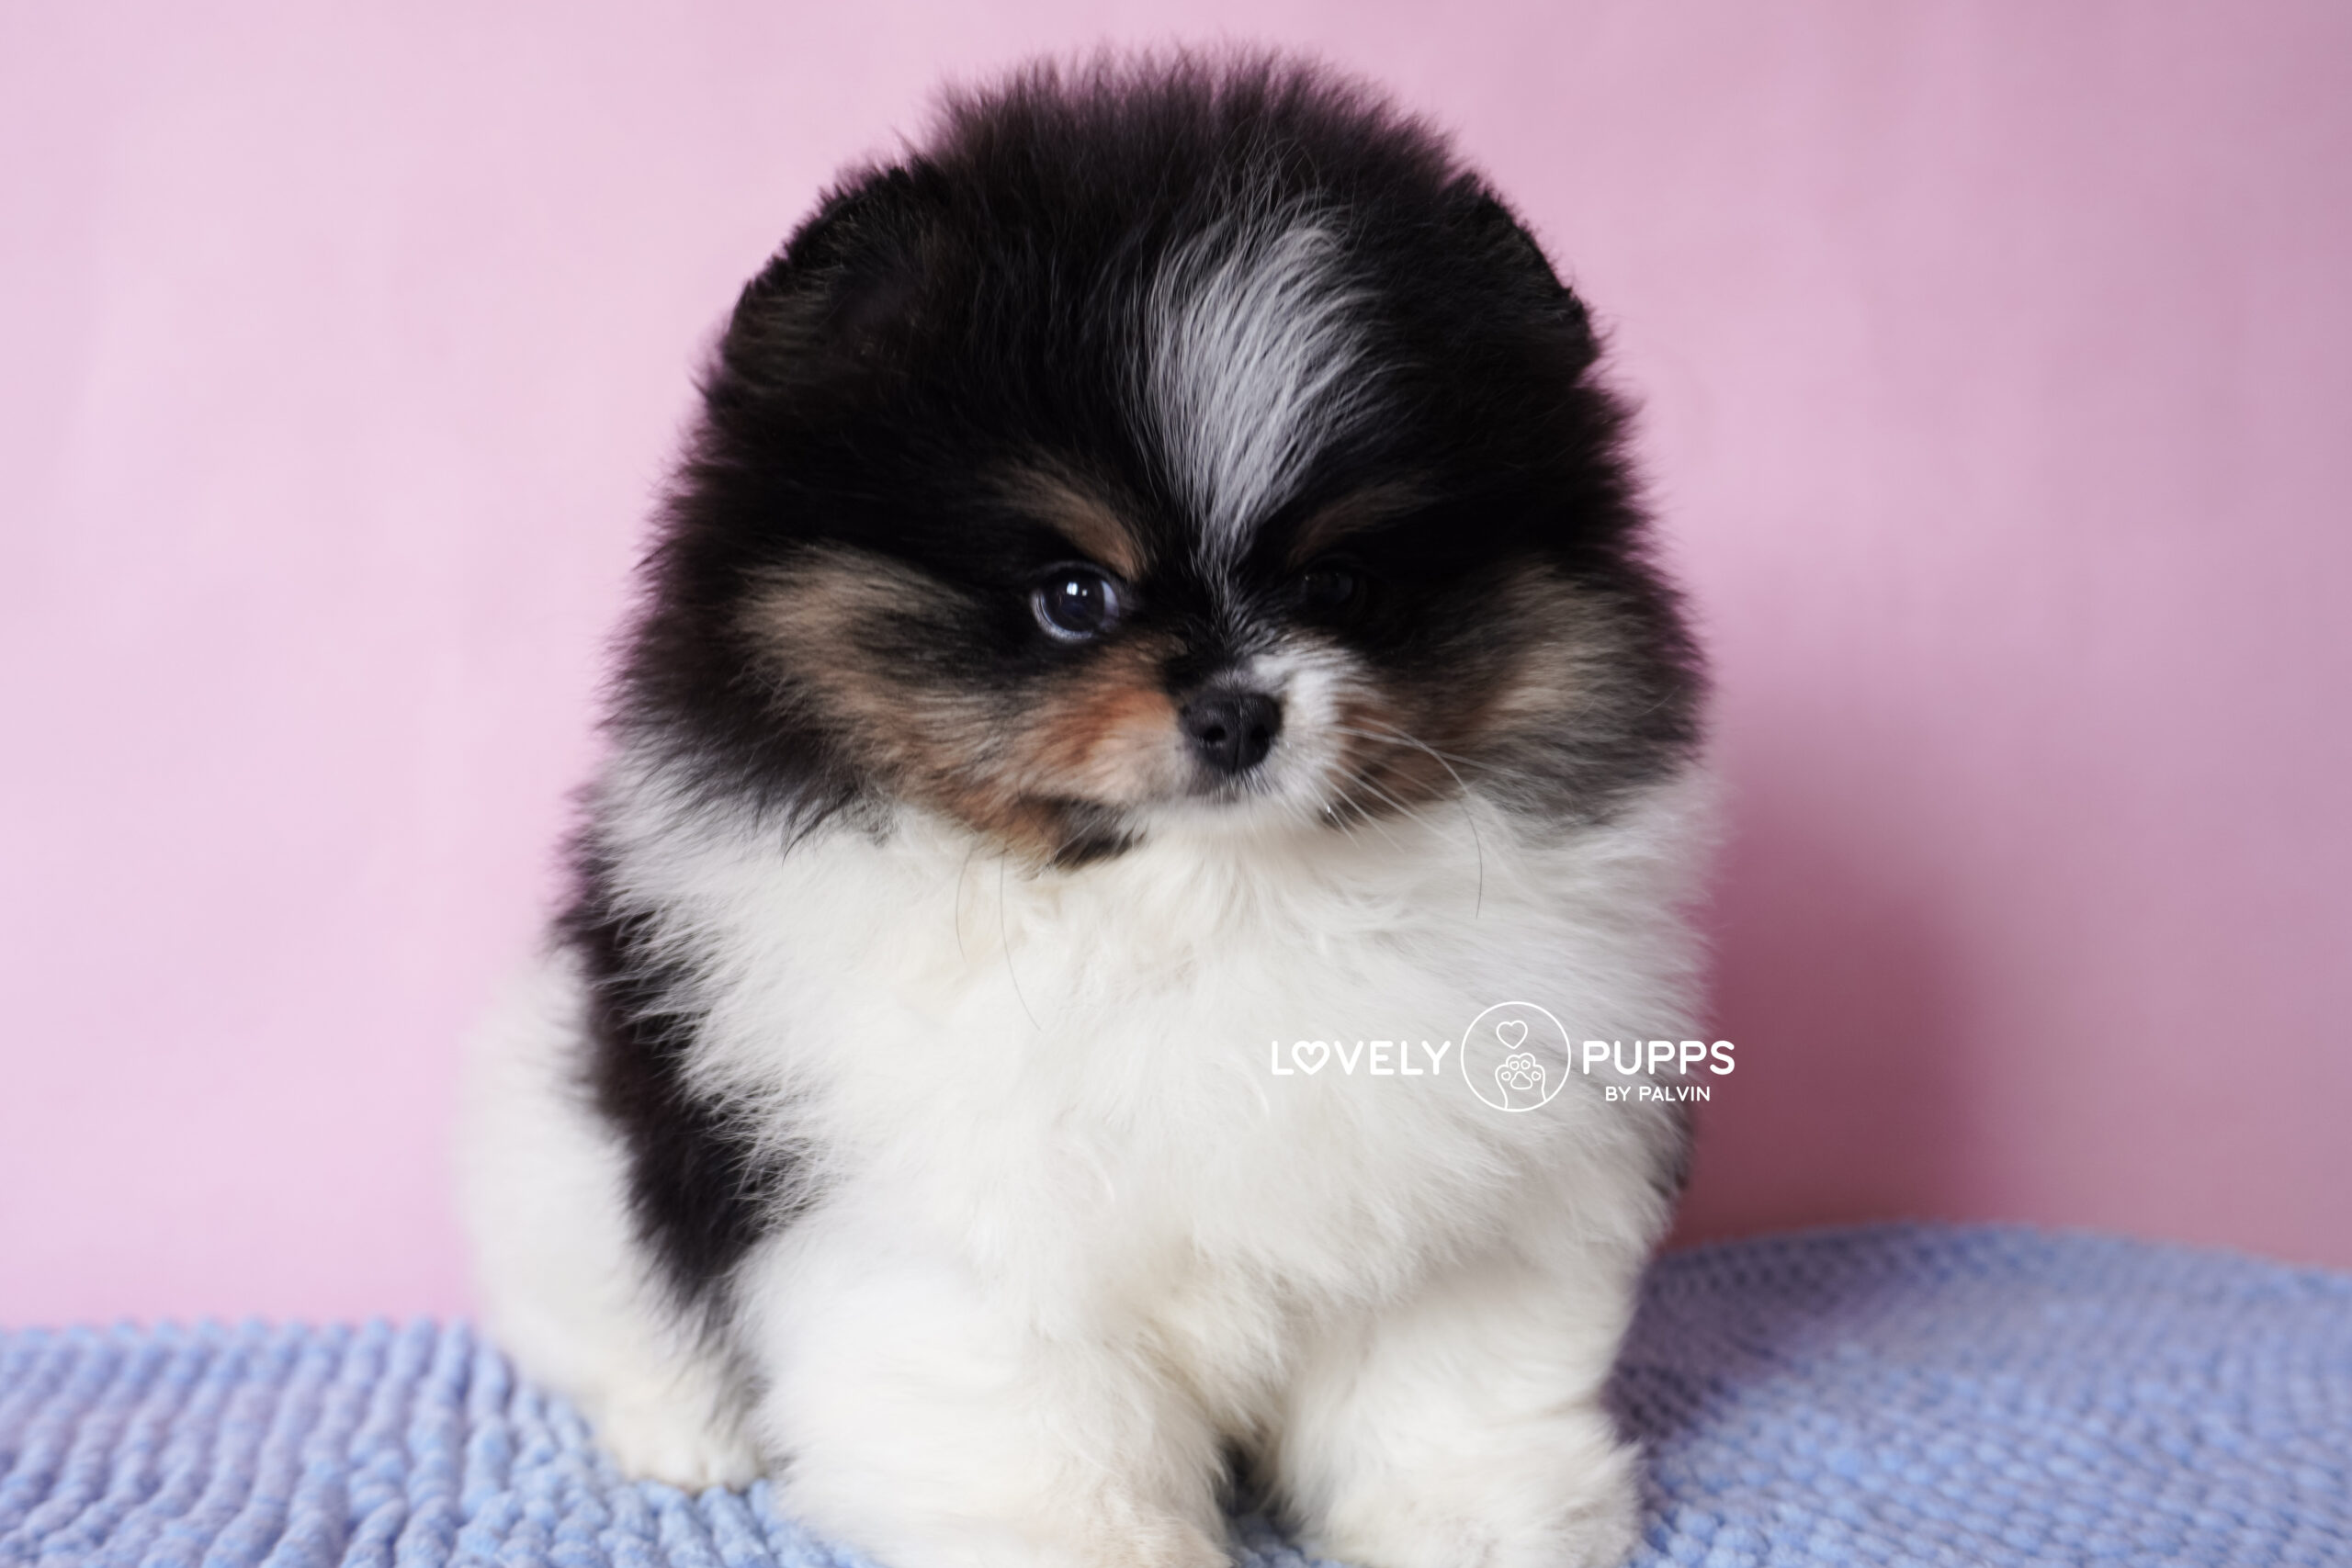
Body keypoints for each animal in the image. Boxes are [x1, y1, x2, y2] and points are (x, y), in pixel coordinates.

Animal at [462, 53, 1708, 1568]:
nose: (1238, 709)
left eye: (1343, 585)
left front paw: (1474, 1522)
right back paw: (686, 1434)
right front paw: (1097, 1540)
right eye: (1073, 596)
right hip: (560, 1147)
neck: (1200, 899)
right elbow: (1040, 1426)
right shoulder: (952, 1237)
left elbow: (1442, 1381)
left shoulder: (1472, 1200)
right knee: (607, 1317)